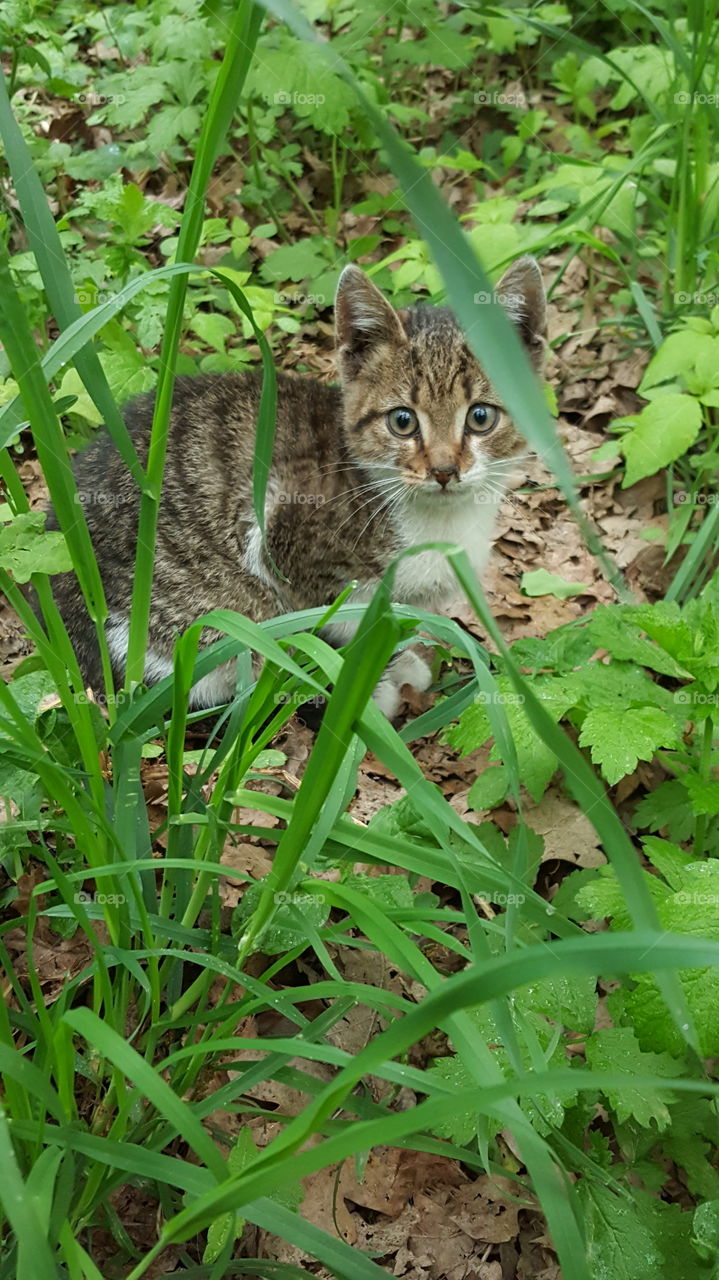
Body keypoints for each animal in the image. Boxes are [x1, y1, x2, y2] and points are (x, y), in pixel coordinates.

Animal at [46, 257, 542, 721]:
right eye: (402, 421)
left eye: (480, 417)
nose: (443, 470)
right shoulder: (280, 533)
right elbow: (350, 625)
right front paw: (368, 686)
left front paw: (395, 664)